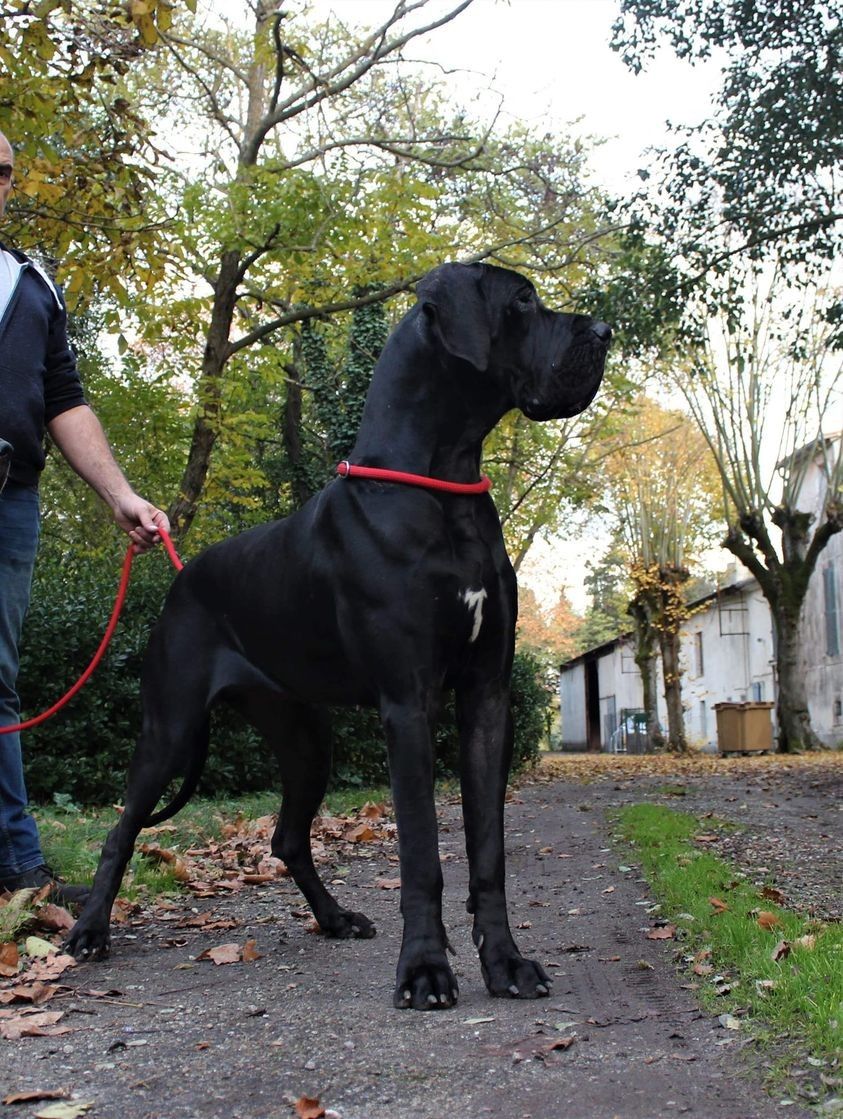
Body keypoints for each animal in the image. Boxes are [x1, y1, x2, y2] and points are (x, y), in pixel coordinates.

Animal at [65, 262, 611, 1010]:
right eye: (522, 300)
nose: (605, 330)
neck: (444, 480)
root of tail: (182, 571)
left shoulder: (486, 695)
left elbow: (488, 849)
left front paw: (505, 963)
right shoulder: (408, 703)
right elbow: (421, 852)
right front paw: (425, 971)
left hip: (305, 738)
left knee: (288, 837)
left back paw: (333, 917)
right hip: (168, 727)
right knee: (121, 828)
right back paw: (89, 930)